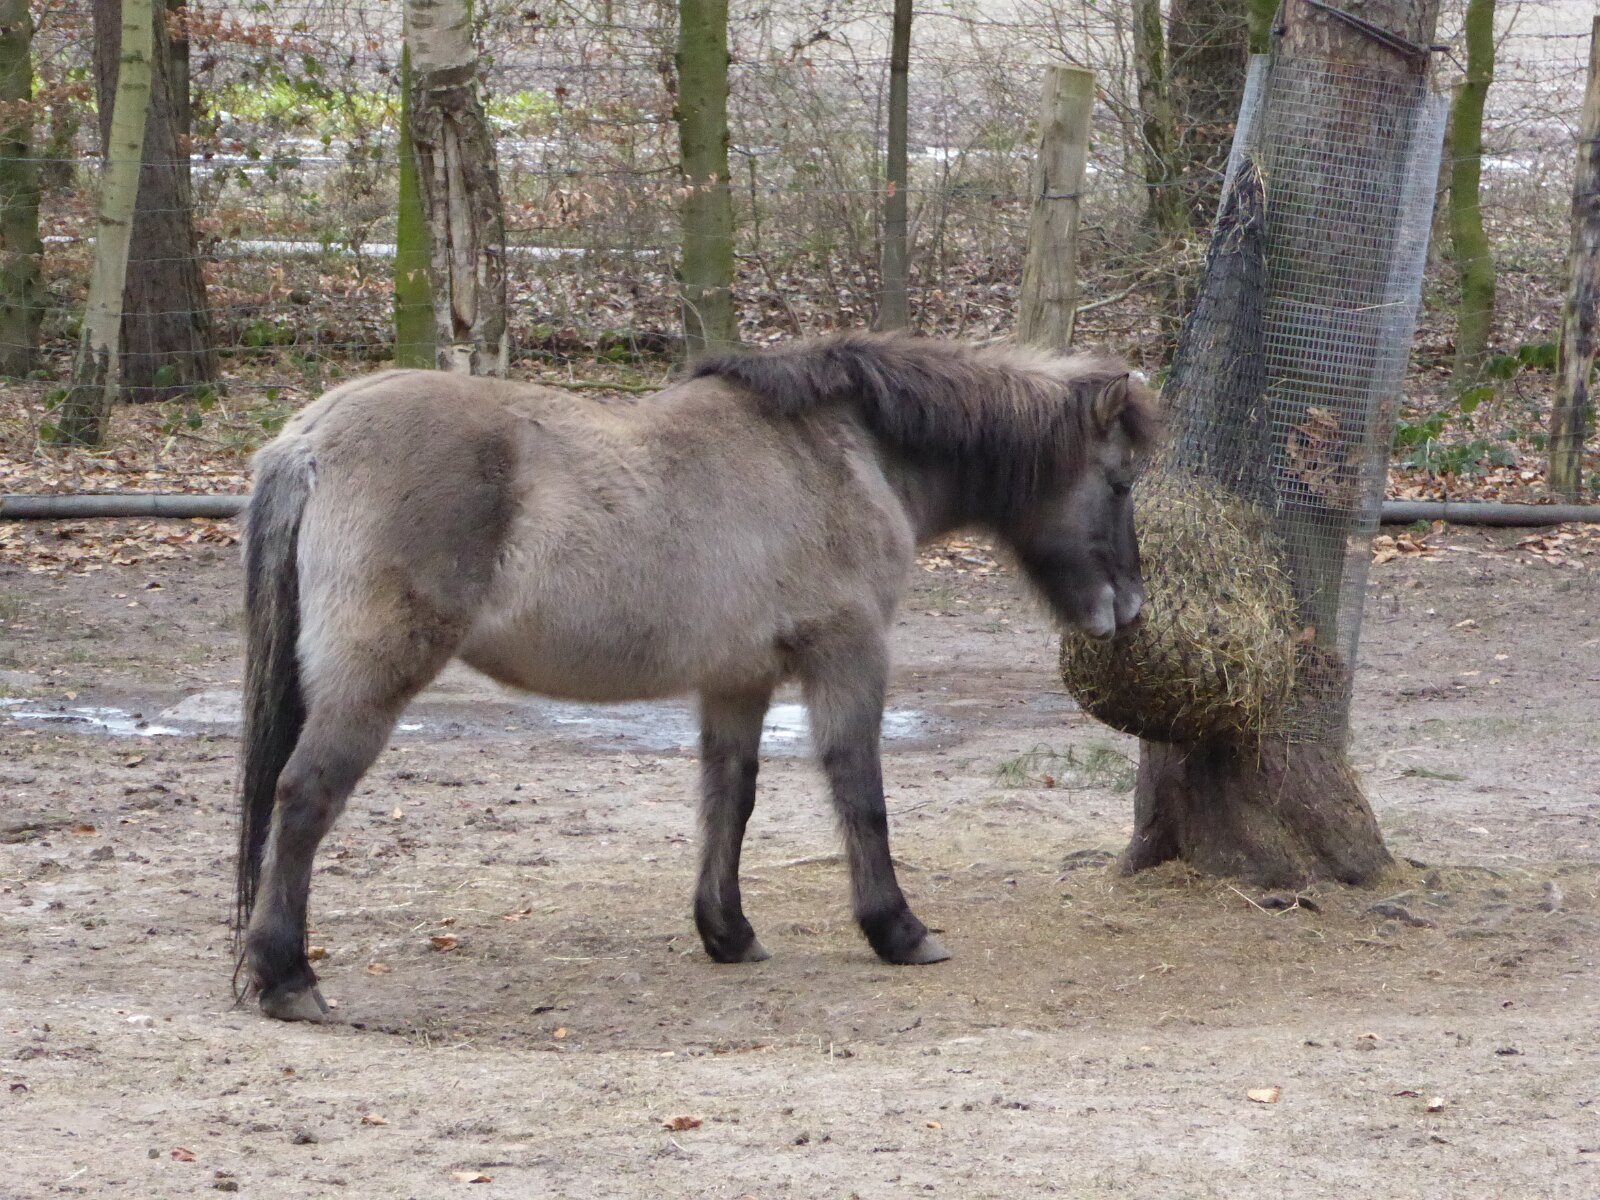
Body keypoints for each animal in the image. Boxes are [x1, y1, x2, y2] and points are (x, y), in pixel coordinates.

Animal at [234, 331, 1159, 1021]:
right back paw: (288, 978)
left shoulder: (737, 679)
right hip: (373, 676)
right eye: (1118, 482)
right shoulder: (850, 654)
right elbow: (859, 790)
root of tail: (309, 437)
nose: (1130, 610)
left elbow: (729, 798)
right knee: (303, 797)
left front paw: (728, 932)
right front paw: (898, 930)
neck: (837, 452)